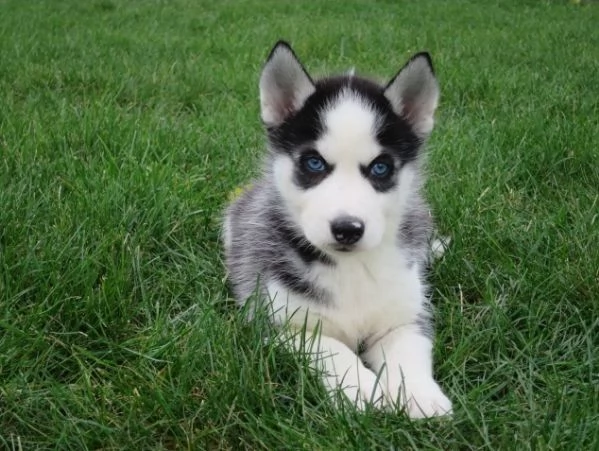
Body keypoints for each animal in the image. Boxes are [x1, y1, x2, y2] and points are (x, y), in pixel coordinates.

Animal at [223, 40, 452, 418]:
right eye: (314, 163)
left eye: (380, 167)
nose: (347, 229)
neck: (351, 268)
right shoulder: (280, 322)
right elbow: (332, 348)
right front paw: (362, 389)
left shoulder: (404, 316)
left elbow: (409, 349)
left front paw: (420, 394)